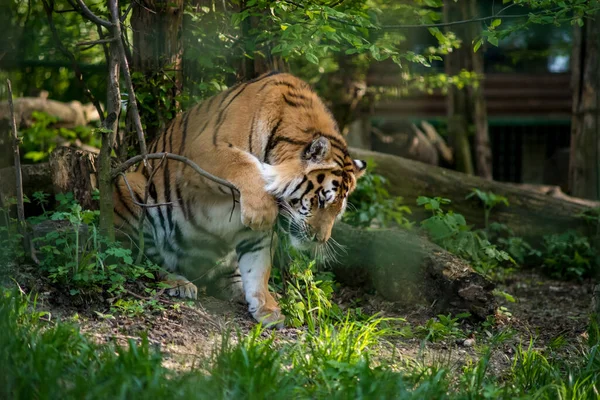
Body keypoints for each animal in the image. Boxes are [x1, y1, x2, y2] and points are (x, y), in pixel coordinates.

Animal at [112, 72, 366, 326]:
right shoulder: (205, 149)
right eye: (322, 200)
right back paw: (179, 282)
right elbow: (242, 161)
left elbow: (258, 268)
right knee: (149, 260)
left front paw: (266, 308)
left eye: (338, 211)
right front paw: (260, 211)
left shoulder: (258, 236)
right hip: (131, 186)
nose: (320, 240)